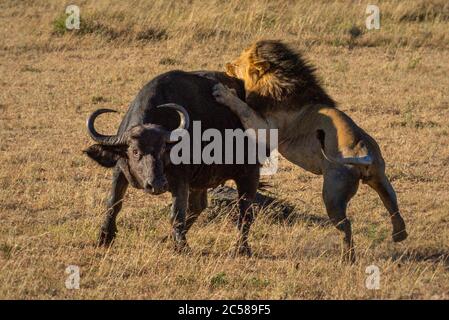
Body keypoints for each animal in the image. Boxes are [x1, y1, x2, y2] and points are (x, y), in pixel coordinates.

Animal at [84, 70, 260, 255]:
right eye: (135, 151)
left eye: (163, 149)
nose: (156, 184)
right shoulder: (120, 169)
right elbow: (113, 203)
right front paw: (104, 237)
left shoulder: (180, 180)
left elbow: (176, 213)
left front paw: (182, 246)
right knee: (198, 206)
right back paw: (167, 238)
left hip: (249, 174)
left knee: (245, 212)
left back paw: (242, 247)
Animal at [212, 39, 408, 262]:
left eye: (237, 64)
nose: (227, 65)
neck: (280, 82)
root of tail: (362, 148)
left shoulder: (267, 128)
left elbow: (244, 108)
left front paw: (224, 92)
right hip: (380, 177)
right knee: (392, 204)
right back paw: (399, 234)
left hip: (333, 194)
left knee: (346, 226)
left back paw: (347, 258)